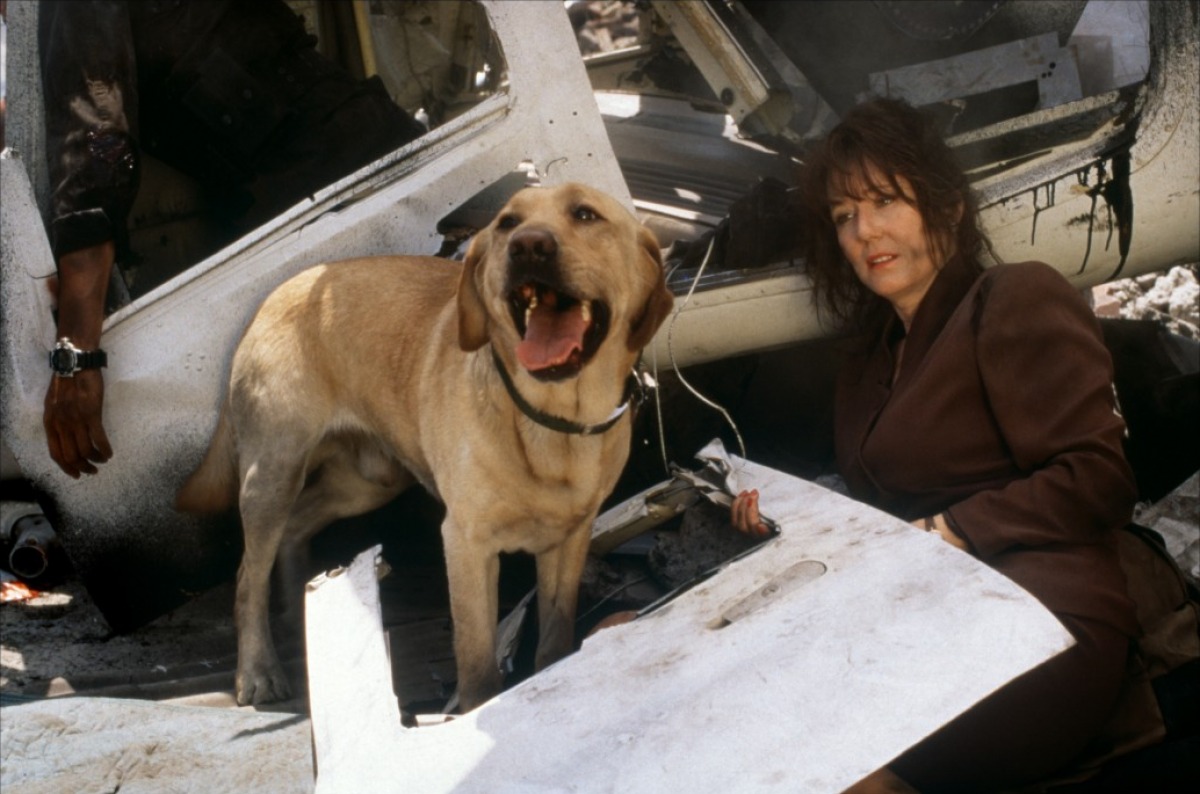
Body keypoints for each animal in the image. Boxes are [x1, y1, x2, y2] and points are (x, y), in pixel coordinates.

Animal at [176, 183, 672, 710]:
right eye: (507, 223)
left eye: (585, 214)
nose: (528, 246)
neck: (551, 422)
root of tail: (269, 298)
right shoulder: (466, 542)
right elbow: (476, 658)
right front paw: (476, 708)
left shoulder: (570, 539)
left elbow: (555, 637)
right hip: (274, 473)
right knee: (247, 577)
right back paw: (258, 671)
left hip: (368, 481)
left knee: (294, 527)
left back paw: (296, 618)